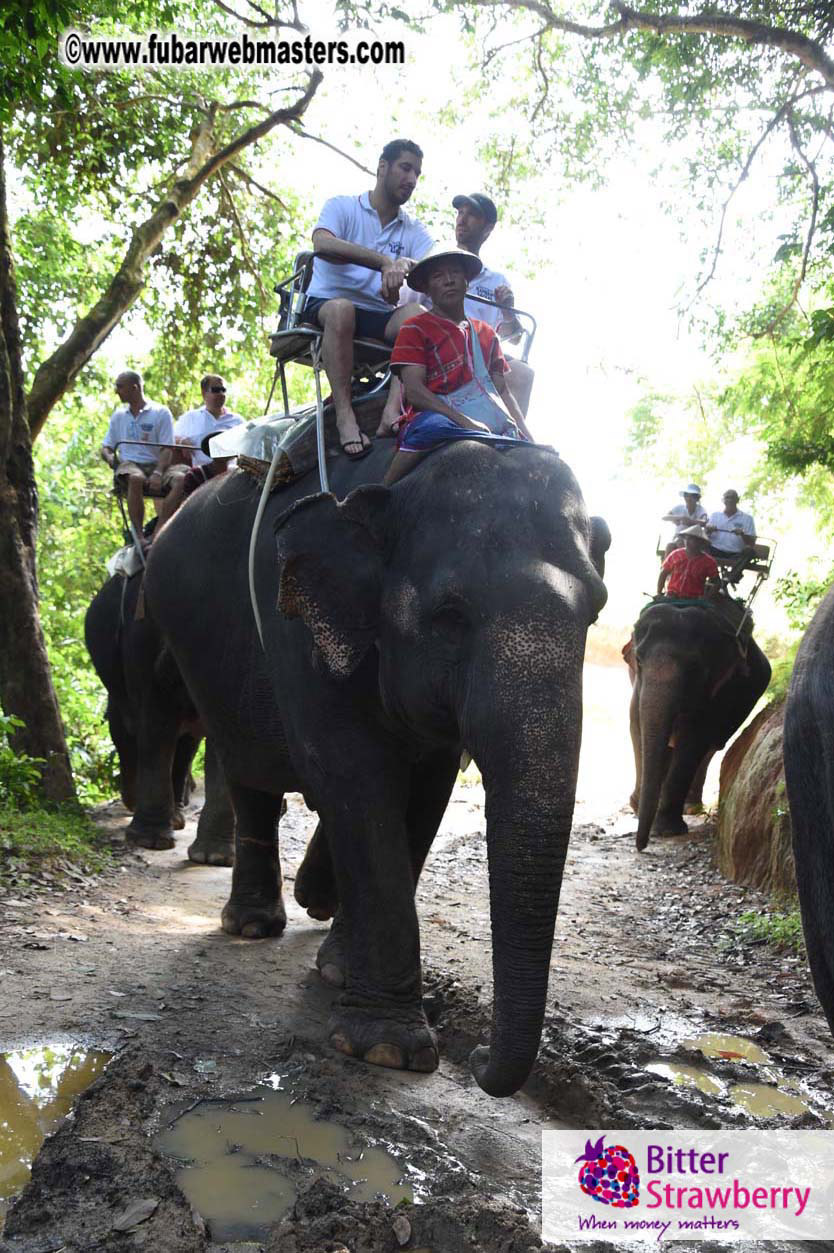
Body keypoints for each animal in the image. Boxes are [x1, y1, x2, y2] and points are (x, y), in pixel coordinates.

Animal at [143, 438, 610, 1097]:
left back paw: (315, 906)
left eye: (595, 612)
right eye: (449, 616)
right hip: (196, 649)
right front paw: (388, 1050)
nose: (478, 1059)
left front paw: (340, 970)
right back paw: (252, 925)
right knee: (249, 773)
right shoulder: (296, 624)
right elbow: (354, 776)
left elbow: (425, 789)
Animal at [627, 597, 771, 851]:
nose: (641, 847)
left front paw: (665, 830)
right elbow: (637, 726)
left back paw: (690, 806)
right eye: (639, 660)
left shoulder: (720, 689)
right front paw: (637, 808)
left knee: (710, 747)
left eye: (694, 668)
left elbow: (693, 738)